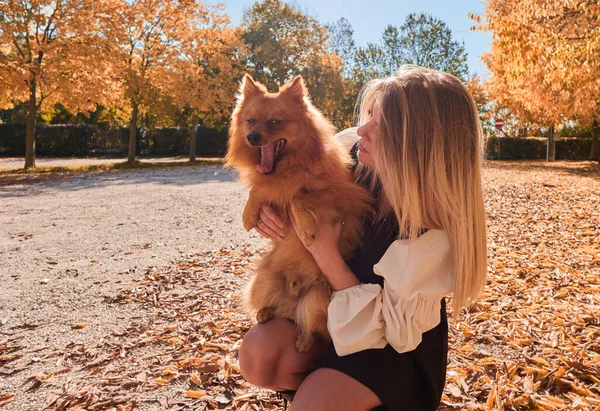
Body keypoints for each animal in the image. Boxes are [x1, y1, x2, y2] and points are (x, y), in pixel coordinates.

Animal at [227, 74, 372, 350]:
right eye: (250, 120)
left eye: (275, 122)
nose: (252, 136)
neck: (289, 167)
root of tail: (292, 297)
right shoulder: (271, 186)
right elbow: (261, 189)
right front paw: (249, 213)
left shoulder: (344, 196)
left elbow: (299, 198)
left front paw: (304, 228)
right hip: (261, 282)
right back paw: (265, 312)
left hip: (316, 300)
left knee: (313, 329)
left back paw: (304, 341)